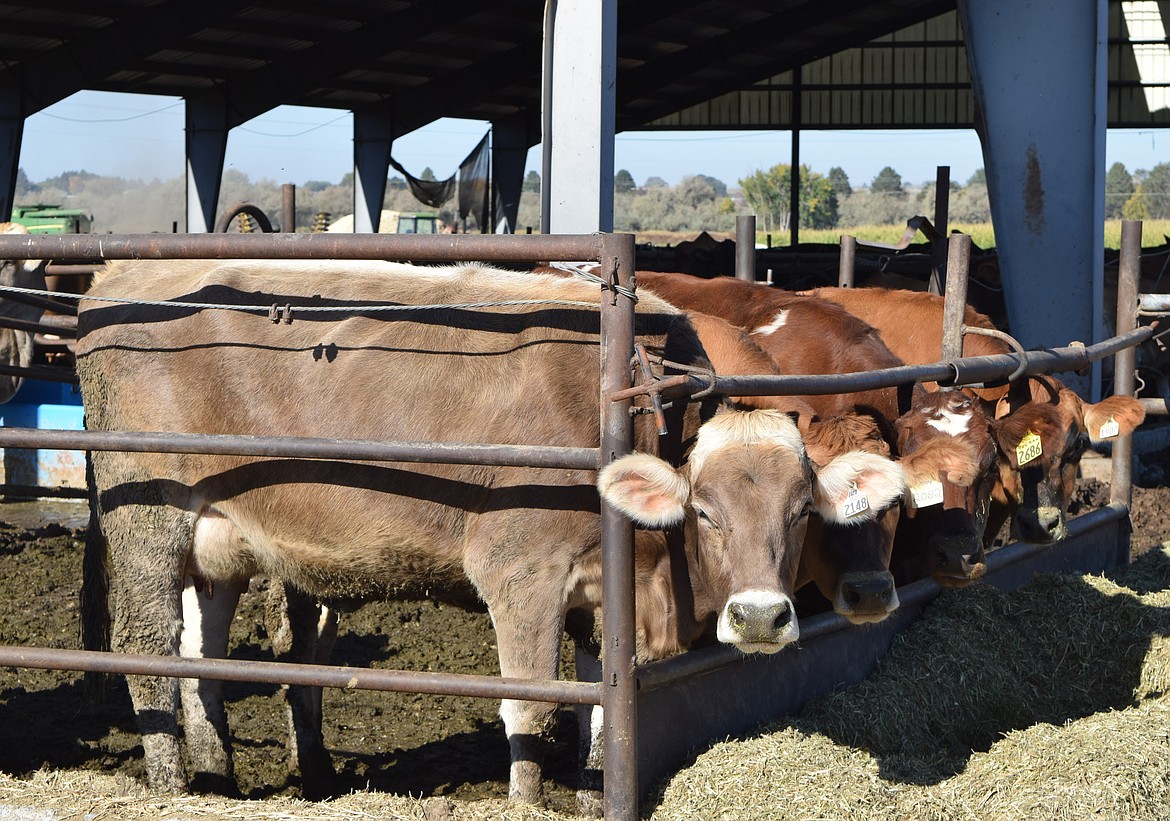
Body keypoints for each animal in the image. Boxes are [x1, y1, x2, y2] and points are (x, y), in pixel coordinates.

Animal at [80, 260, 903, 809]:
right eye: (704, 509)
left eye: (803, 510)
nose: (761, 617)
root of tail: (121, 272)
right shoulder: (521, 572)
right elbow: (529, 704)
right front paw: (528, 801)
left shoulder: (599, 592)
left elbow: (601, 704)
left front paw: (596, 789)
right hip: (148, 518)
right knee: (148, 649)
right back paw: (168, 786)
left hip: (217, 541)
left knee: (203, 659)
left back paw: (215, 779)